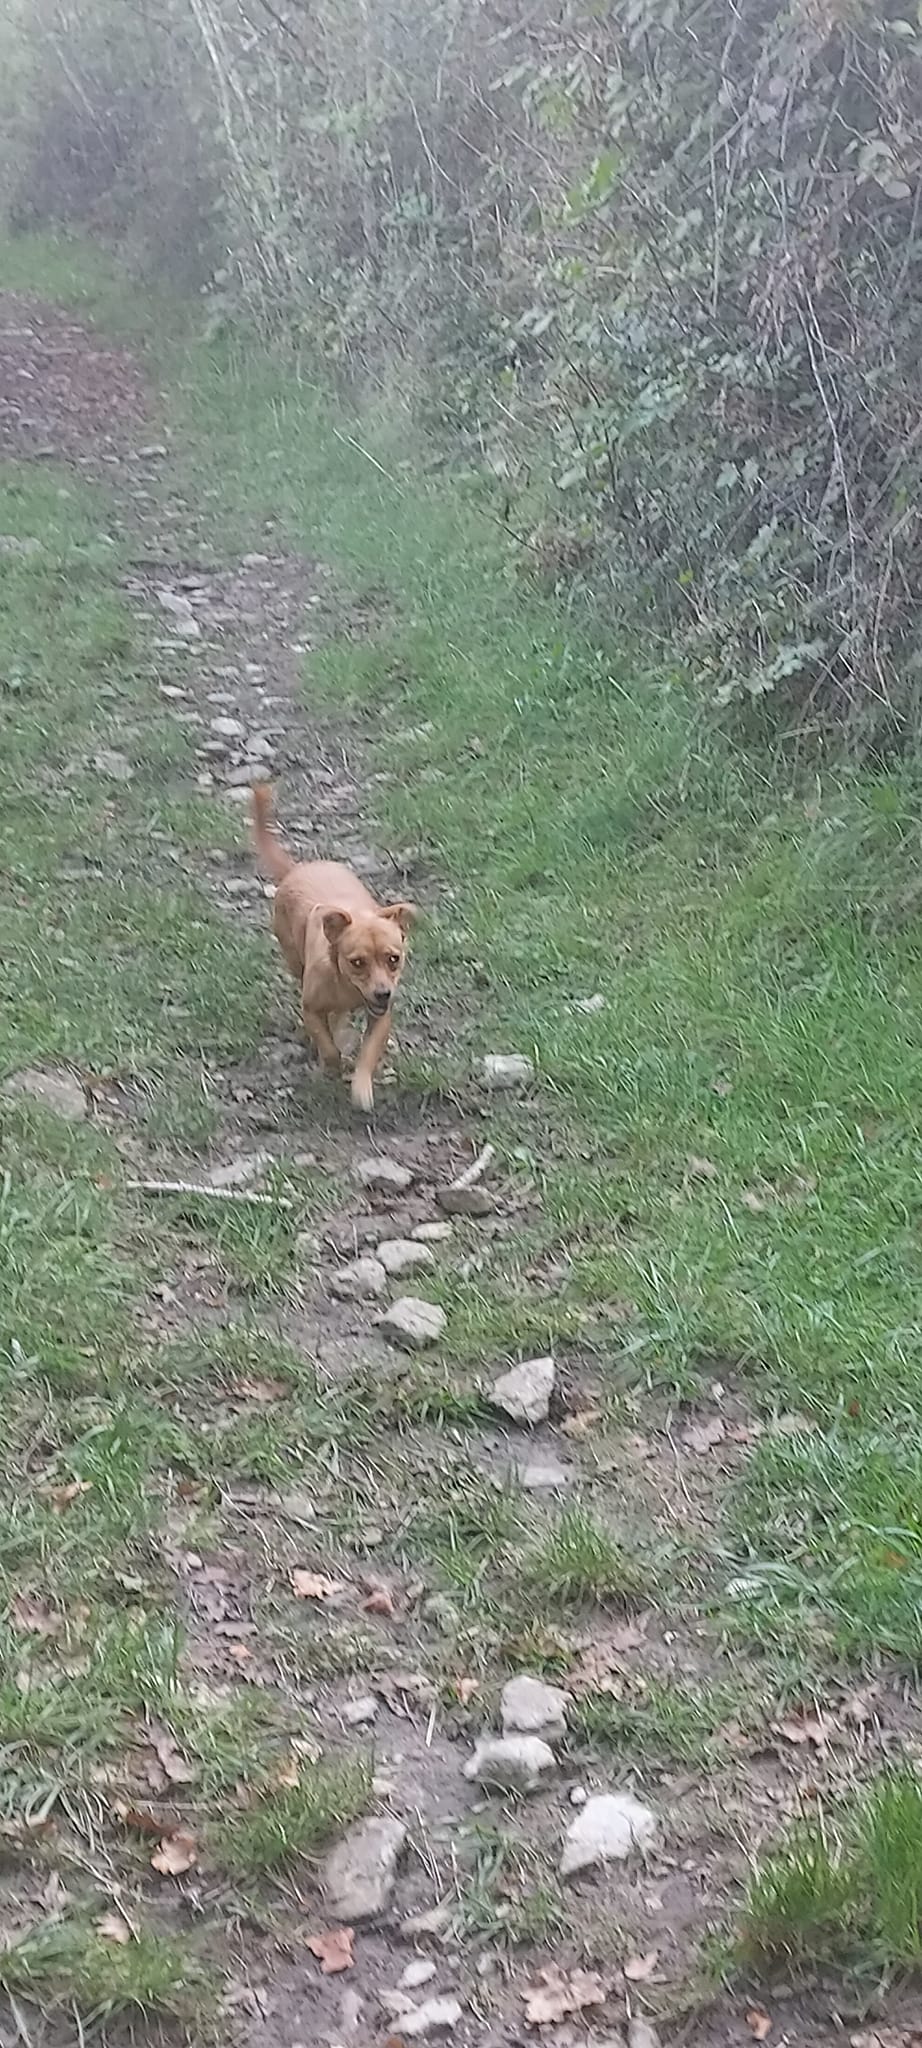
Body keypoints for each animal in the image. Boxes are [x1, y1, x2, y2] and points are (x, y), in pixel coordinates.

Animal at [248, 782, 413, 1114]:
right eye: (357, 962)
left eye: (394, 959)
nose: (383, 993)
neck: (348, 988)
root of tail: (296, 869)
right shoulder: (311, 1009)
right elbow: (327, 1046)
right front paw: (332, 1066)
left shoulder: (381, 1017)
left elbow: (367, 1054)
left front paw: (361, 1089)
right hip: (292, 957)